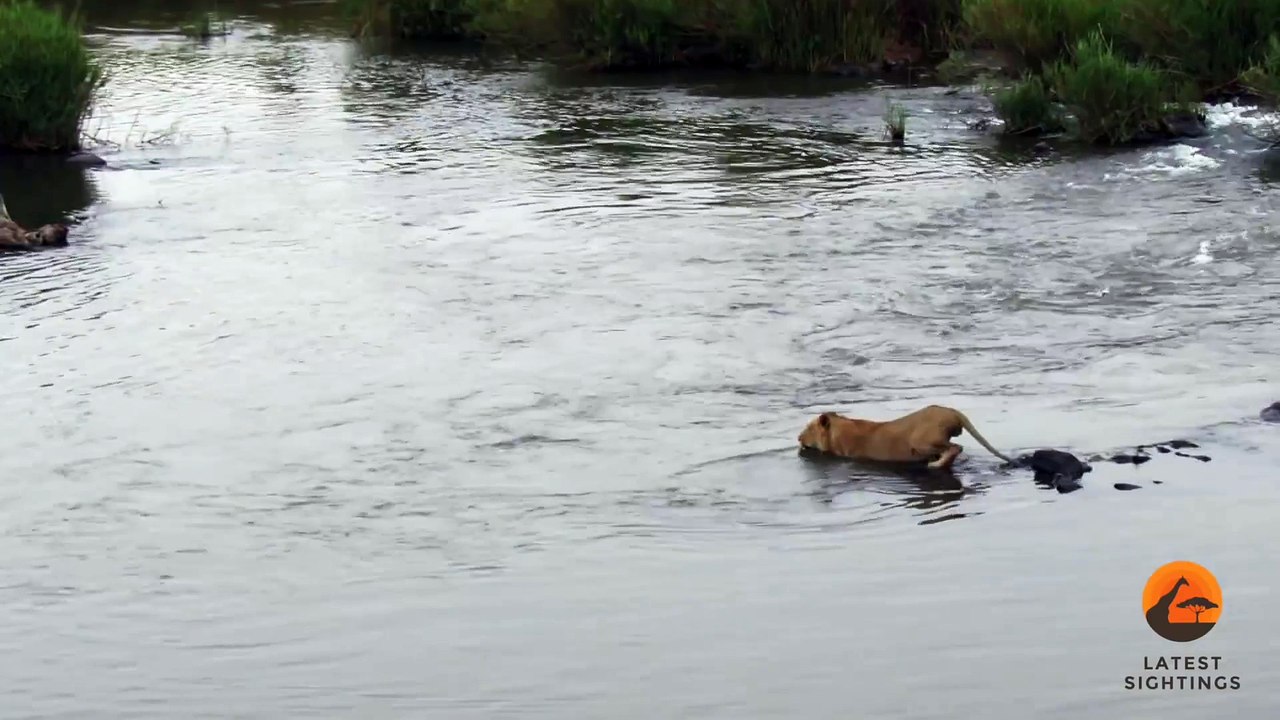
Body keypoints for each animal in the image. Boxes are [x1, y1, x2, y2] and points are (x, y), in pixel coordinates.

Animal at [797, 404, 1013, 470]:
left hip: (920, 441)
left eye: (807, 428)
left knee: (955, 447)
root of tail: (953, 412)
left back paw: (935, 464)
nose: (798, 438)